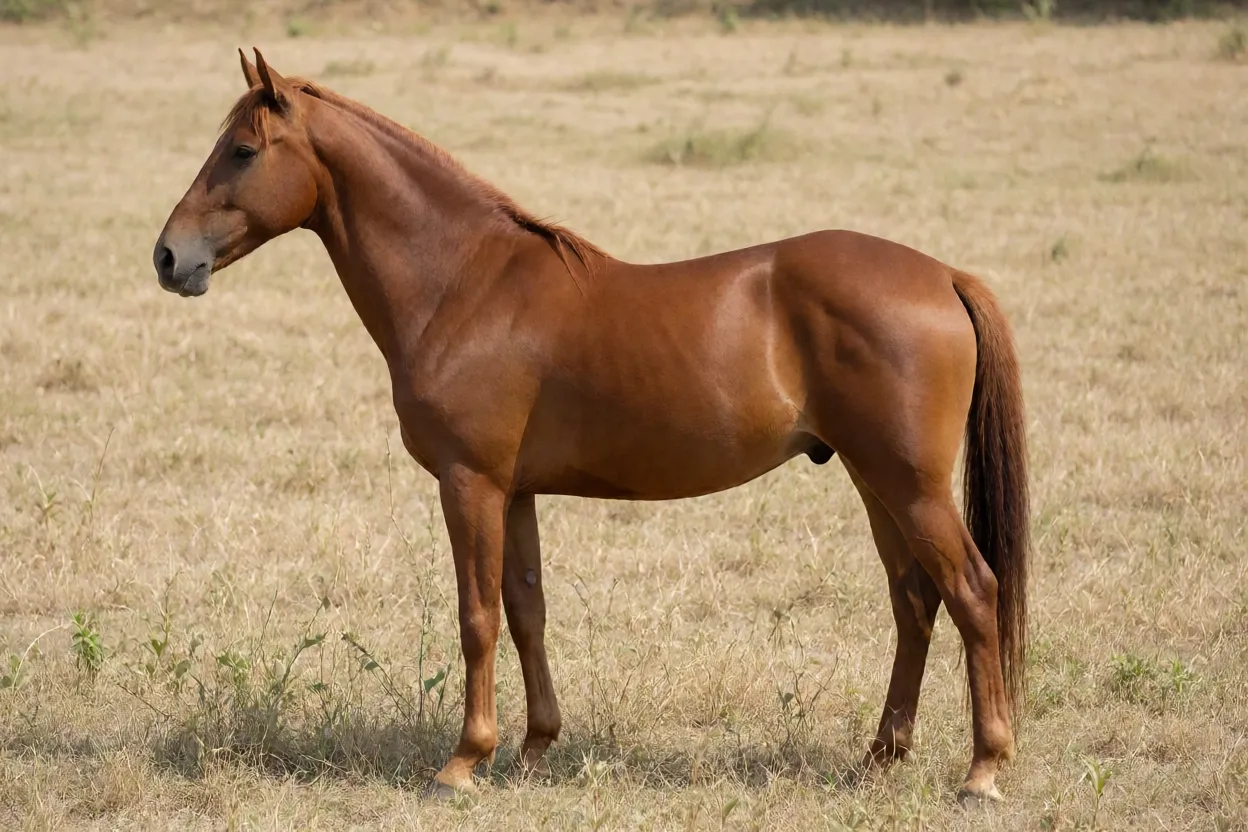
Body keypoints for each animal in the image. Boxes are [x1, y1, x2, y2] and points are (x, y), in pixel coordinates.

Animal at [153, 49, 1030, 804]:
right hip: (872, 479)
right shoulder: (515, 492)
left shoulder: (470, 483)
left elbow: (476, 617)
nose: (168, 258)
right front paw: (534, 748)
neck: (464, 282)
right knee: (914, 600)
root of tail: (944, 275)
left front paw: (463, 761)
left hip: (909, 485)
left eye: (241, 151)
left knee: (973, 592)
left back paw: (983, 770)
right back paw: (879, 757)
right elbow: (526, 611)